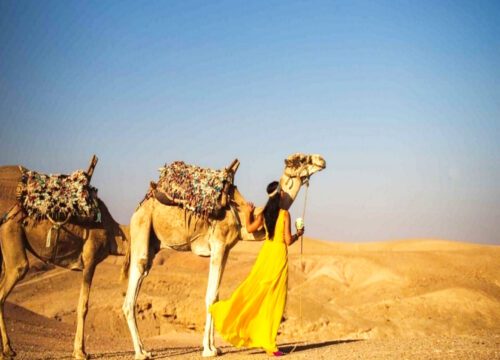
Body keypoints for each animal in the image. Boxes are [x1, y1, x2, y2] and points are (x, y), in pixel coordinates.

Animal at [0, 162, 128, 358]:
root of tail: (6, 216)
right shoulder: (90, 259)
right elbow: (83, 305)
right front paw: (80, 352)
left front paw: (80, 350)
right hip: (12, 235)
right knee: (16, 273)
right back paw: (7, 350)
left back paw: (6, 349)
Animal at [120, 153, 324, 358]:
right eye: (300, 160)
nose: (321, 160)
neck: (239, 214)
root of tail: (137, 209)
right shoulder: (218, 245)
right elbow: (210, 296)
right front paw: (208, 350)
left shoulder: (226, 249)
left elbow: (216, 296)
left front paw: (214, 347)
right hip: (142, 226)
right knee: (133, 287)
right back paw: (141, 353)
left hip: (153, 241)